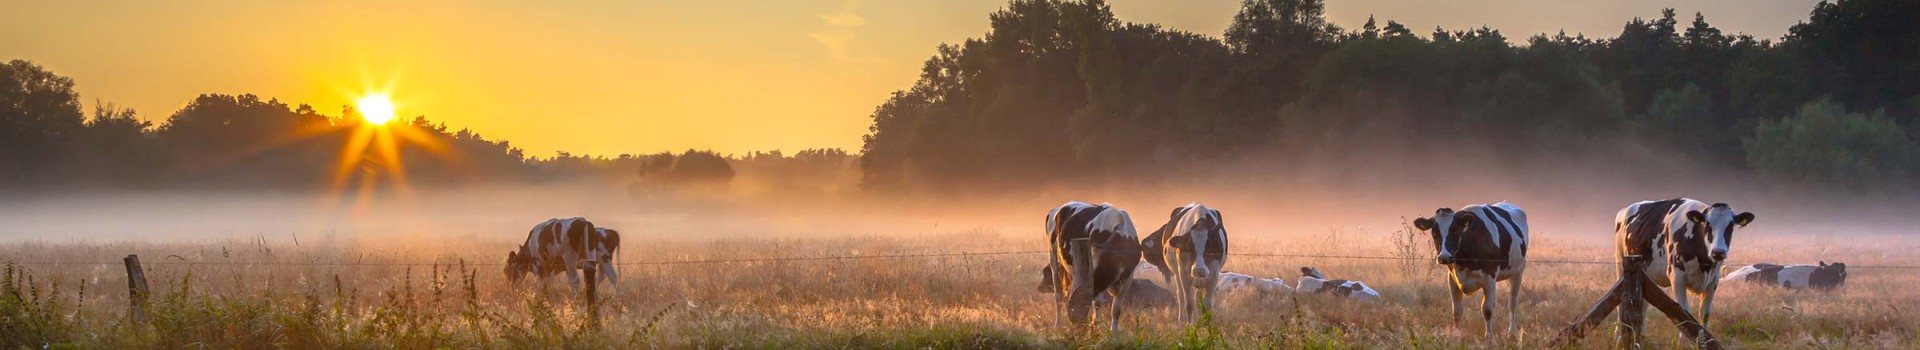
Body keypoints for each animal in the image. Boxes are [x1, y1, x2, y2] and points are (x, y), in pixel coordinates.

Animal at [1036, 200, 1136, 332]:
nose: (1076, 323)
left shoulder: (1128, 277)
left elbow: (1116, 310)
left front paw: (1114, 333)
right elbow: (1097, 303)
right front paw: (1095, 326)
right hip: (1053, 258)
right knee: (1058, 295)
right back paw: (1058, 325)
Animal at [1413, 201, 1528, 336]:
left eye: (1455, 232)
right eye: (1434, 234)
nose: (1444, 257)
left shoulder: (1489, 276)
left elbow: (1487, 309)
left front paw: (1489, 337)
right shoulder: (1452, 278)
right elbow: (1457, 311)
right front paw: (1457, 335)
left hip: (1518, 271)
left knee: (1513, 302)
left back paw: (1512, 332)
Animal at [1620, 198, 1758, 326]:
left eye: (1730, 226)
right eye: (1707, 225)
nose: (1718, 252)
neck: (1704, 264)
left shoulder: (1713, 280)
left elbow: (1705, 314)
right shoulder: (1677, 277)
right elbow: (1684, 315)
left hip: (1647, 277)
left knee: (1644, 305)